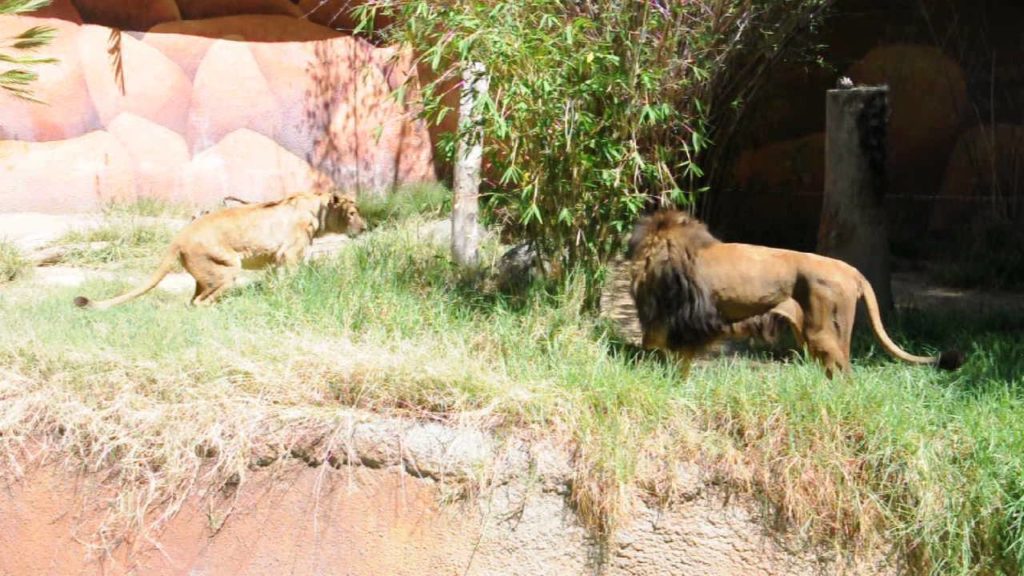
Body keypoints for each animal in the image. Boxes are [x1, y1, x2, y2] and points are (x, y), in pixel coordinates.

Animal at [74, 192, 365, 309]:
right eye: (352, 213)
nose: (364, 228)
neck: (317, 210)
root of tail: (179, 237)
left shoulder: (276, 261)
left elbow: (275, 283)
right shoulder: (289, 256)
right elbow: (291, 280)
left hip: (207, 275)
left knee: (192, 301)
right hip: (228, 269)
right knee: (200, 303)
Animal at [627, 209, 964, 377]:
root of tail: (852, 271)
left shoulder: (684, 324)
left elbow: (673, 358)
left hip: (825, 334)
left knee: (846, 375)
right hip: (813, 336)